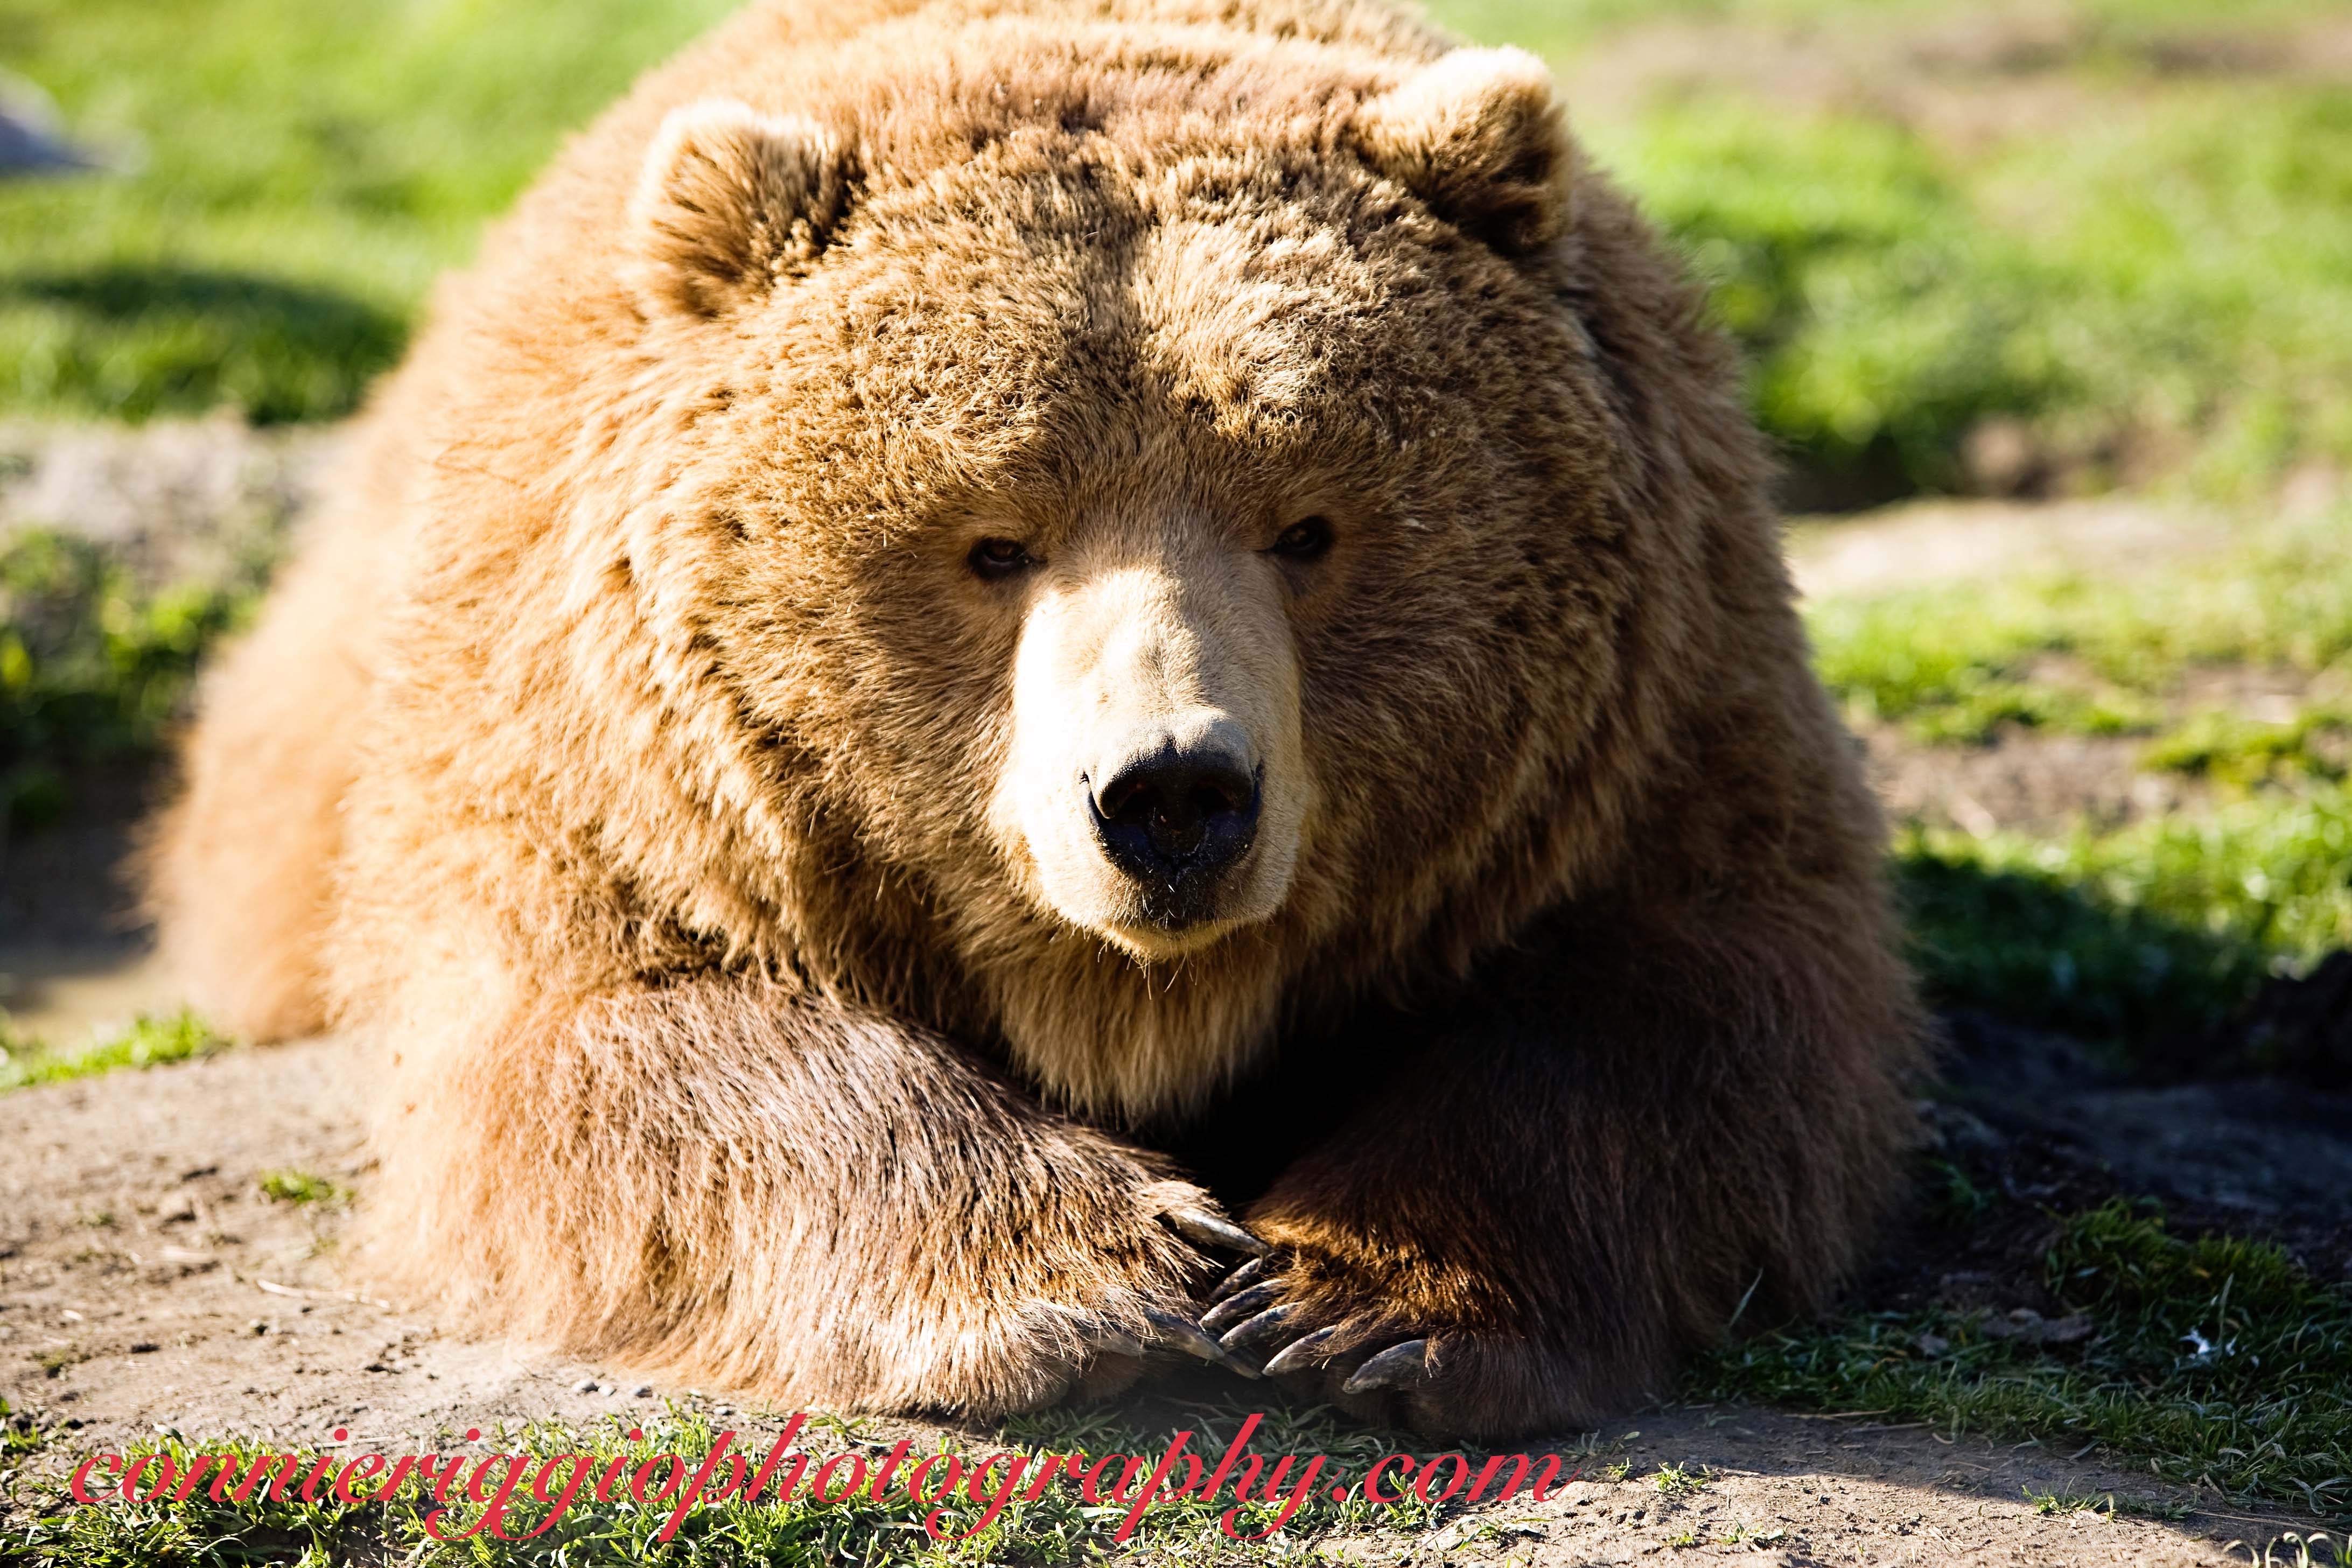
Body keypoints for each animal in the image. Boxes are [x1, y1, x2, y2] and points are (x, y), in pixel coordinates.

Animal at [149, 0, 1924, 1438]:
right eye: (995, 539)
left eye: (1307, 522)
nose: (1171, 796)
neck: (1129, 999)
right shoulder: (614, 767)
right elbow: (607, 1046)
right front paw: (1098, 1266)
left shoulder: (1648, 728)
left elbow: (1687, 1008)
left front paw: (1351, 1300)